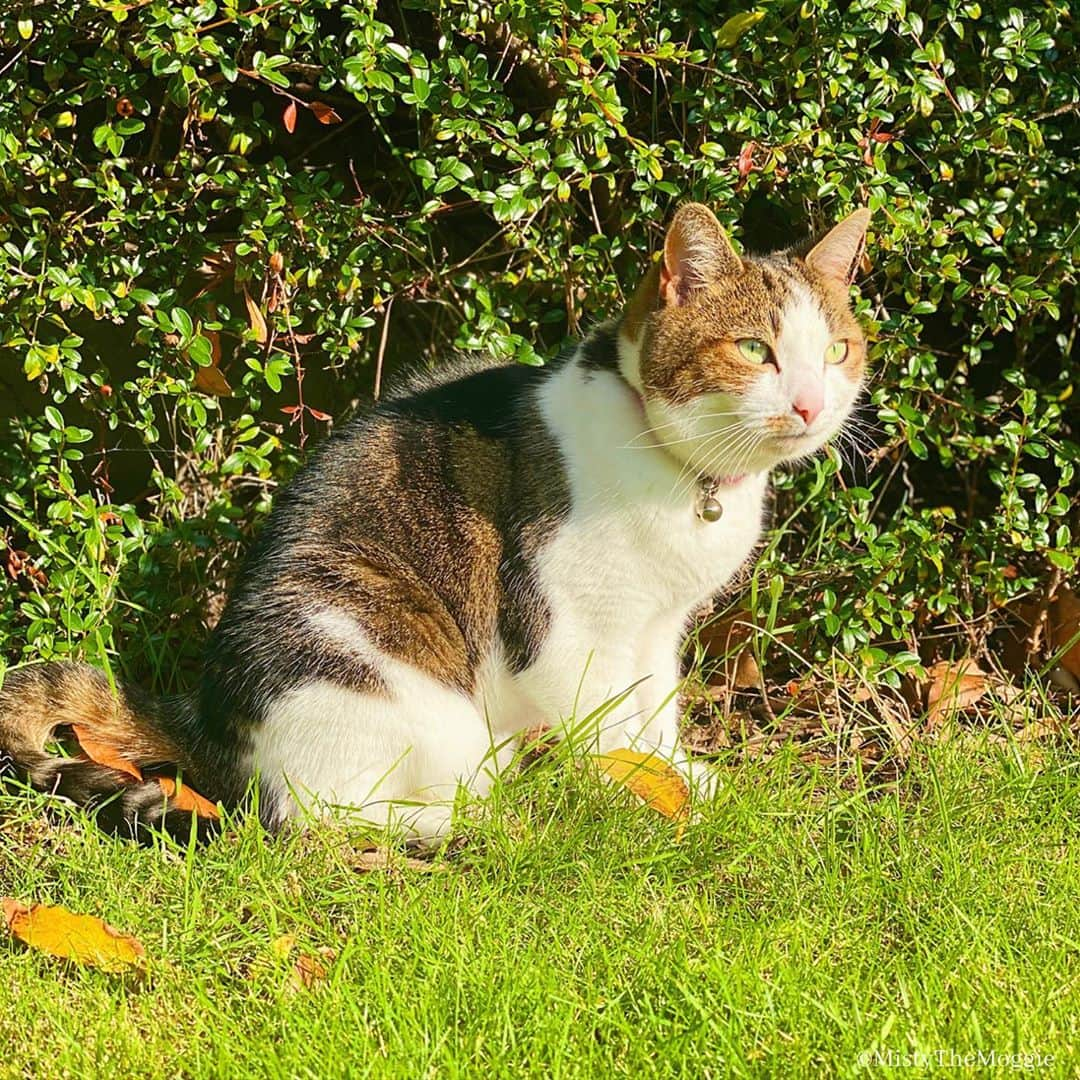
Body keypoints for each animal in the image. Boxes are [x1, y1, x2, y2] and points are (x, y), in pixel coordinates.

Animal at [0, 203, 868, 842]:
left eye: (837, 352)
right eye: (754, 349)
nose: (809, 405)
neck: (685, 478)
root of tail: (205, 714)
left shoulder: (658, 625)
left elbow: (652, 712)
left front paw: (679, 780)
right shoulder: (566, 621)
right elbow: (604, 722)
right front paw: (630, 791)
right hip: (383, 654)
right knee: (307, 817)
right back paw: (470, 814)